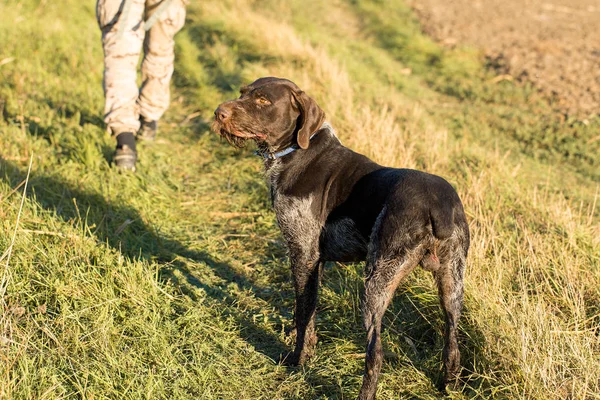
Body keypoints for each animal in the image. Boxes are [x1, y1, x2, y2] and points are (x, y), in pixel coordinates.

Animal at [213, 76, 472, 398]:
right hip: (452, 284)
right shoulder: (317, 261)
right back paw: (449, 384)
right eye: (242, 93)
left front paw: (298, 360)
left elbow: (303, 313)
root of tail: (437, 205)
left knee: (375, 353)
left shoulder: (303, 254)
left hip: (377, 280)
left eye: (262, 100)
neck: (296, 152)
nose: (218, 113)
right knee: (452, 343)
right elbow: (309, 312)